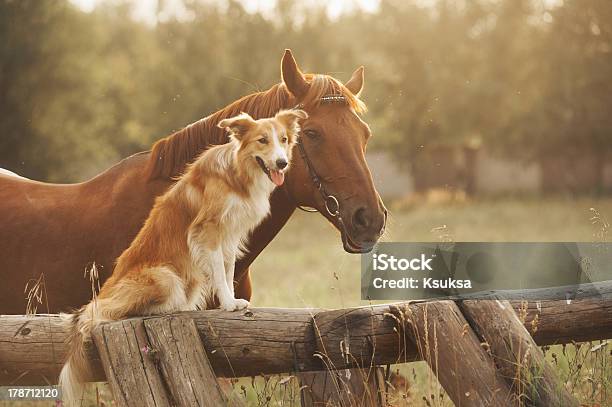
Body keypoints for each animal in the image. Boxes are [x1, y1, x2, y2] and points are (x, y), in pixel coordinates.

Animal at [58, 108, 306, 404]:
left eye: (283, 139)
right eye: (262, 140)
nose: (282, 163)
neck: (237, 173)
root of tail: (103, 293)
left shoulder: (230, 236)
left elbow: (228, 270)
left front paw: (232, 301)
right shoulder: (208, 231)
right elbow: (220, 273)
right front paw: (228, 304)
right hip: (164, 277)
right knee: (115, 311)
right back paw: (169, 307)